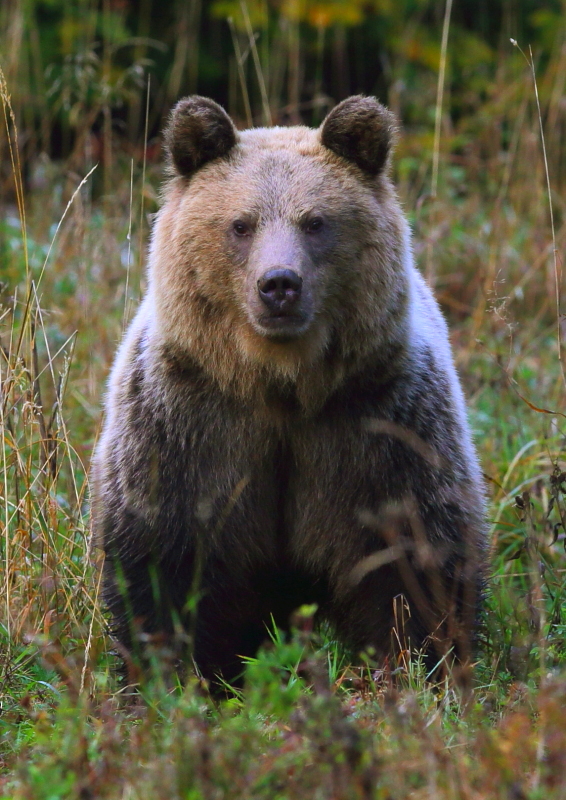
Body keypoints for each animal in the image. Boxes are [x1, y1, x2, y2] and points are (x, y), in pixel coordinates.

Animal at [92, 95, 488, 688]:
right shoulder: (189, 423)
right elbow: (162, 558)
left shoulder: (379, 424)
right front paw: (170, 675)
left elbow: (414, 559)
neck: (280, 384)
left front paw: (420, 666)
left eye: (315, 221)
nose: (278, 284)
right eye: (241, 224)